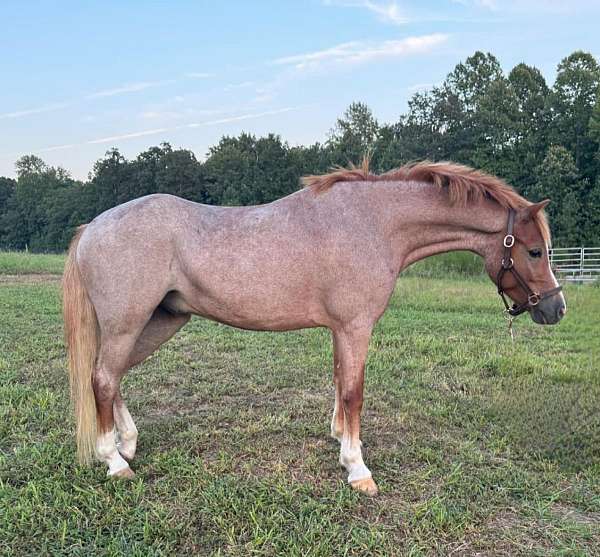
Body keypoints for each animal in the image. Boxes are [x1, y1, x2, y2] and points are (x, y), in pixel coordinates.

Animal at [63, 159, 564, 494]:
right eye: (535, 251)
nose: (556, 309)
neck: (374, 224)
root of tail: (93, 227)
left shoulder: (341, 330)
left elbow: (340, 383)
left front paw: (340, 439)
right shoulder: (356, 327)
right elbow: (354, 391)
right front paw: (358, 469)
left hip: (159, 321)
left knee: (110, 376)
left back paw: (126, 445)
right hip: (129, 323)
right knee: (103, 379)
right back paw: (115, 462)